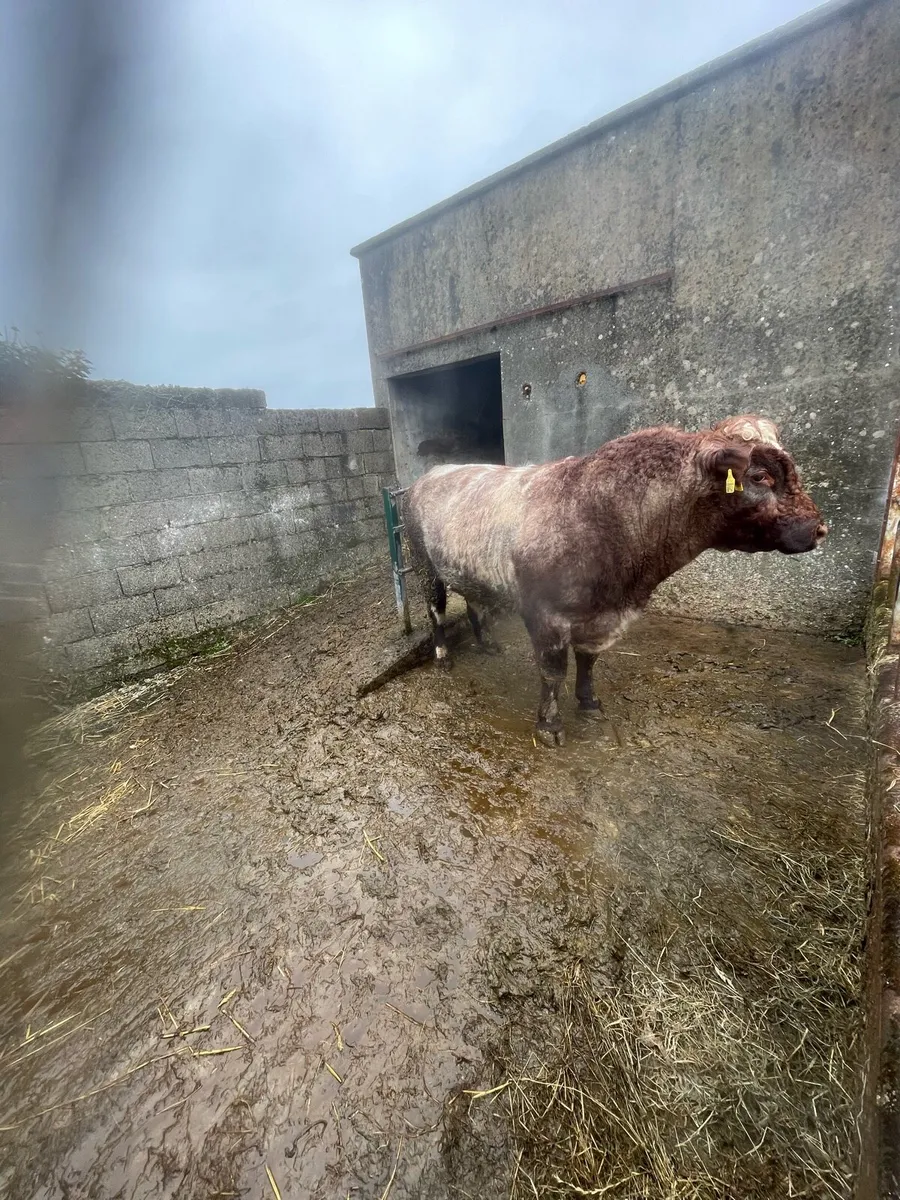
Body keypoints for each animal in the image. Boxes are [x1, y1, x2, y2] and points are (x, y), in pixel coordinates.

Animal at [402, 413, 827, 746]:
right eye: (760, 475)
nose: (819, 529)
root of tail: (432, 474)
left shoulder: (599, 616)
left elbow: (588, 662)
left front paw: (588, 702)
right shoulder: (545, 616)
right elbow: (552, 671)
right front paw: (549, 724)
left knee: (474, 602)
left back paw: (487, 643)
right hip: (424, 565)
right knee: (437, 611)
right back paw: (442, 656)